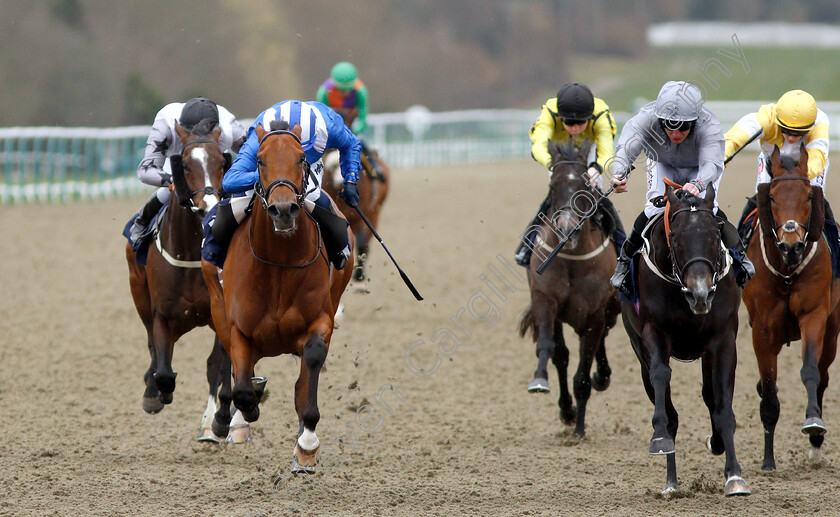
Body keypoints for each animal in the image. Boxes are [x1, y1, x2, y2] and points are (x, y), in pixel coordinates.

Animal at [123, 117, 233, 440]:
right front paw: (157, 393)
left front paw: (221, 417)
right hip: (139, 294)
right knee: (152, 346)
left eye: (221, 162)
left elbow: (219, 364)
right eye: (184, 165)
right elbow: (162, 370)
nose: (208, 204)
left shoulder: (222, 309)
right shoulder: (162, 314)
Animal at [203, 118, 354, 472]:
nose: (283, 210)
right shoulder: (238, 329)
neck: (280, 264)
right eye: (259, 161)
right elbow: (242, 388)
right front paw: (245, 414)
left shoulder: (320, 321)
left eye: (301, 158)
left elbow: (309, 368)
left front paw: (307, 444)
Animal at [520, 139, 616, 438]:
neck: (573, 260)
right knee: (562, 356)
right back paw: (566, 408)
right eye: (553, 187)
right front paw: (540, 381)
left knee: (601, 342)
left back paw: (601, 378)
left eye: (586, 185)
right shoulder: (545, 300)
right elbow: (550, 349)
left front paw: (579, 429)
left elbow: (583, 373)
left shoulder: (594, 314)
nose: (566, 231)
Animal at [620, 181, 752, 496]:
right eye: (676, 240)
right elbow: (661, 378)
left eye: (715, 236)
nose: (700, 293)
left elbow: (722, 406)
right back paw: (671, 482)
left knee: (710, 395)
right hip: (638, 349)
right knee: (669, 407)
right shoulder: (653, 335)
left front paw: (734, 475)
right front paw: (660, 439)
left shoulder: (723, 340)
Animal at [744, 143, 836, 470]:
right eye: (771, 196)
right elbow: (769, 390)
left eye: (809, 196)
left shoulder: (815, 315)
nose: (792, 245)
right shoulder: (761, 328)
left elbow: (809, 371)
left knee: (822, 377)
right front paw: (768, 461)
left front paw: (813, 423)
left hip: (833, 331)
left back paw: (816, 445)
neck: (786, 270)